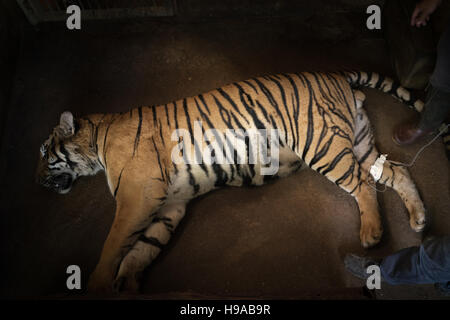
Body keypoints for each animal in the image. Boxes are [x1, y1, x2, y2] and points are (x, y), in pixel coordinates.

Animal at [37, 71, 432, 294]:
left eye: (43, 150)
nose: (38, 182)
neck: (97, 143)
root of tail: (337, 76)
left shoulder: (138, 196)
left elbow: (114, 243)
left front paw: (99, 284)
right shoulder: (170, 205)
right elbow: (143, 248)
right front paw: (126, 284)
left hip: (324, 146)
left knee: (363, 183)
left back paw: (372, 232)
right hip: (360, 143)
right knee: (396, 171)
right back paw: (418, 219)